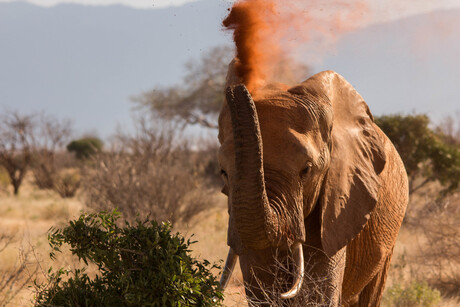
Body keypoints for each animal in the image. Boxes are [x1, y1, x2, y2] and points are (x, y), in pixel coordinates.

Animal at [217, 61, 408, 306]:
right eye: (223, 172)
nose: (239, 85)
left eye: (306, 170)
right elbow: (261, 288)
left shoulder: (338, 206)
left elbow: (319, 292)